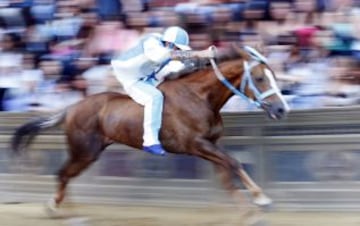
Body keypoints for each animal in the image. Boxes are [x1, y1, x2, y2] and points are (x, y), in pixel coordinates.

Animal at [9, 44, 288, 214]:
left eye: (274, 75)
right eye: (260, 78)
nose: (281, 108)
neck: (200, 97)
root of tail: (71, 108)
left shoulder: (211, 145)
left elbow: (227, 175)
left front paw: (247, 208)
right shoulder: (196, 144)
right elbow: (233, 163)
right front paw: (261, 198)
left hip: (87, 152)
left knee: (65, 175)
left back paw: (65, 207)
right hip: (84, 151)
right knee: (62, 174)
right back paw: (55, 206)